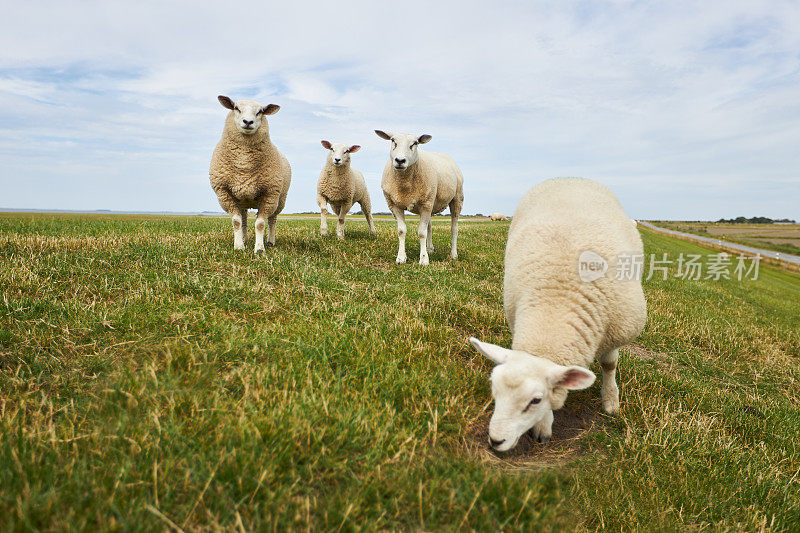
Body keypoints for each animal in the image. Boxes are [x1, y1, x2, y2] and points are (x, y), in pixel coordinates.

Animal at [209, 94, 290, 252]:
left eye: (260, 111)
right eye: (236, 108)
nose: (248, 122)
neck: (244, 165)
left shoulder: (269, 194)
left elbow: (260, 223)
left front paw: (259, 249)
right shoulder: (225, 193)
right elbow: (237, 221)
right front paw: (239, 246)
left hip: (280, 199)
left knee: (273, 220)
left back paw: (270, 241)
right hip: (242, 200)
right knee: (244, 219)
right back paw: (245, 238)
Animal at [376, 131, 466, 264]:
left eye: (415, 143)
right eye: (393, 141)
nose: (400, 160)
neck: (404, 185)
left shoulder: (425, 204)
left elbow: (421, 233)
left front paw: (423, 259)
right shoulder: (394, 204)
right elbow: (401, 231)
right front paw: (401, 257)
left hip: (456, 198)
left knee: (454, 228)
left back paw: (454, 254)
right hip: (430, 202)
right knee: (430, 226)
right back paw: (430, 249)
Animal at [466, 178, 648, 448]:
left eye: (535, 400)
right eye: (494, 390)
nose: (496, 440)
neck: (556, 305)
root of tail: (571, 178)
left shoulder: (617, 328)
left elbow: (609, 365)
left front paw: (611, 402)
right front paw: (543, 427)